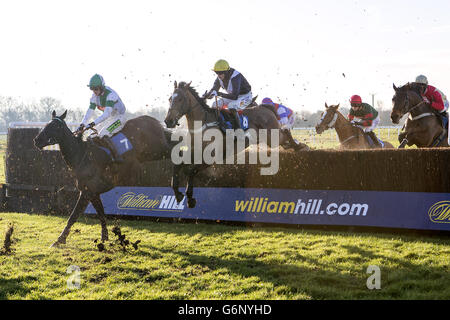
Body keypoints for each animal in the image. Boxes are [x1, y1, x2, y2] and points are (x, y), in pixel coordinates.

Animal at [33, 110, 172, 248]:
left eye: (55, 127)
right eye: (46, 125)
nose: (36, 140)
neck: (81, 155)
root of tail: (152, 120)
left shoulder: (87, 192)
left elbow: (73, 216)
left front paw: (59, 240)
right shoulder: (93, 193)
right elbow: (101, 214)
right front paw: (104, 237)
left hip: (158, 149)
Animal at [165, 81, 310, 209]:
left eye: (180, 99)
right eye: (169, 99)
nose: (168, 121)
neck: (203, 125)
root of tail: (265, 107)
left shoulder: (212, 156)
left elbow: (191, 170)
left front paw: (190, 198)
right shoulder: (193, 152)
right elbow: (177, 165)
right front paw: (178, 194)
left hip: (273, 138)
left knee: (286, 132)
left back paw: (300, 146)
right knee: (285, 139)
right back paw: (298, 146)